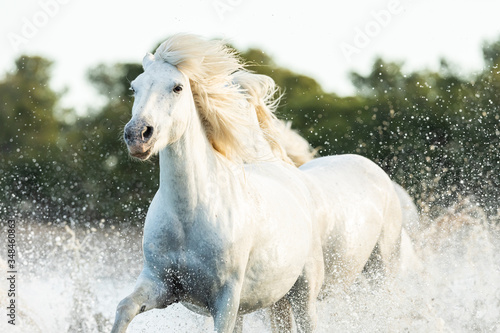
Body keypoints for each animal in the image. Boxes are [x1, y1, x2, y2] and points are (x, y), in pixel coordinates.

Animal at [111, 33, 404, 332]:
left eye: (177, 87)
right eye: (134, 88)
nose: (138, 135)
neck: (190, 213)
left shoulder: (226, 299)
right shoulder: (160, 284)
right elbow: (124, 307)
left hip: (325, 288)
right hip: (279, 300)